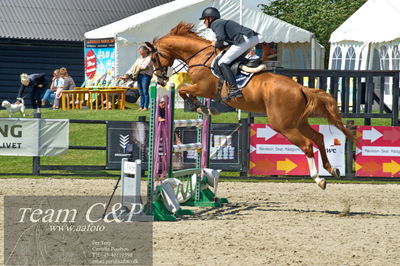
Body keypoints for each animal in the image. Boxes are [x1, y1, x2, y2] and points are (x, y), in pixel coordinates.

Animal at [145, 22, 354, 189]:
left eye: (154, 58)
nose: (161, 79)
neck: (200, 57)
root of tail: (300, 87)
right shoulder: (202, 89)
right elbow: (185, 91)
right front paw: (203, 107)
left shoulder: (203, 88)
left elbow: (183, 90)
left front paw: (200, 107)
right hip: (298, 122)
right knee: (319, 138)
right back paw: (332, 170)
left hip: (283, 125)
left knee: (307, 145)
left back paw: (319, 179)